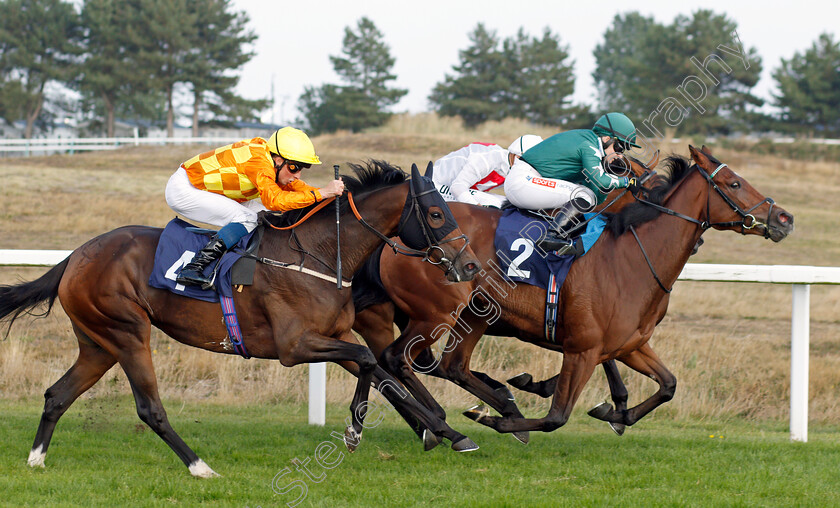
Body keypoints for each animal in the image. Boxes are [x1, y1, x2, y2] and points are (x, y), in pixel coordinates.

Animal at [0, 162, 482, 476]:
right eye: (437, 213)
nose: (471, 265)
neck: (319, 254)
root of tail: (75, 256)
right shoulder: (295, 347)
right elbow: (370, 361)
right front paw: (357, 431)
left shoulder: (333, 335)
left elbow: (380, 373)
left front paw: (447, 432)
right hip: (127, 332)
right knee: (149, 408)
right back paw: (200, 467)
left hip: (99, 342)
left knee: (57, 395)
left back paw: (36, 459)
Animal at [350, 144, 796, 440]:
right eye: (734, 183)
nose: (784, 218)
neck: (631, 256)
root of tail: (395, 237)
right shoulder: (582, 348)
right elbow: (557, 415)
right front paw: (507, 415)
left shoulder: (629, 344)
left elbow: (668, 385)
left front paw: (616, 413)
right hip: (436, 314)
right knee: (399, 359)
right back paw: (449, 423)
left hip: (470, 315)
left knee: (445, 365)